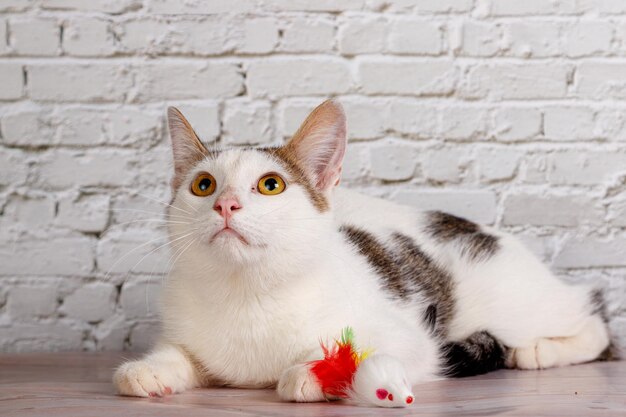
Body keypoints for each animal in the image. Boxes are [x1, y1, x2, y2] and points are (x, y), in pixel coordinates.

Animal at [112, 98, 608, 406]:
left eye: (270, 184)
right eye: (203, 185)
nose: (225, 204)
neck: (248, 293)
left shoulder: (412, 339)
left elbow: (372, 353)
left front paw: (313, 374)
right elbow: (179, 354)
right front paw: (149, 369)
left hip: (517, 304)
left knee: (593, 321)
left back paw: (538, 351)